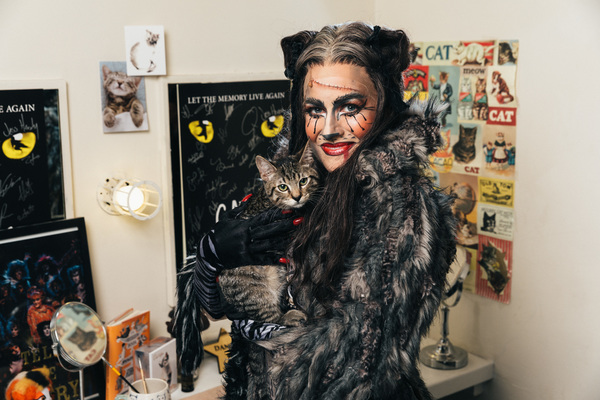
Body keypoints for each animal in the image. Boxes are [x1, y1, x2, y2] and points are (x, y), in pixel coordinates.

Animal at [217, 145, 318, 326]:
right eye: (283, 187)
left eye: (303, 181)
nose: (297, 197)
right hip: (256, 291)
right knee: (271, 318)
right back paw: (290, 316)